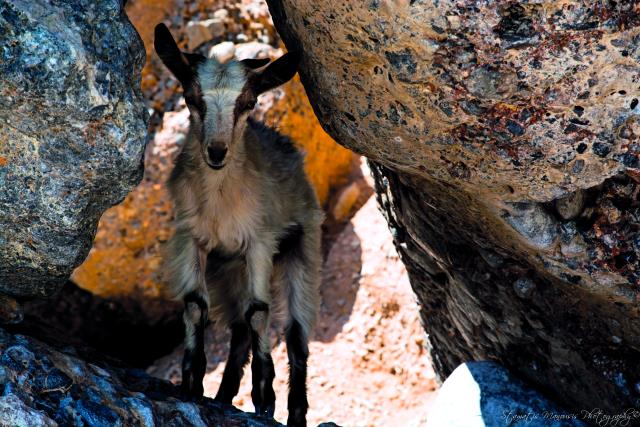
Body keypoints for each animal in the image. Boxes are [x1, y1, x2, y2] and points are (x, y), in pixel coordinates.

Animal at [154, 24, 322, 427]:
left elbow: (260, 311)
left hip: (303, 248)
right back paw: (224, 395)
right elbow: (195, 305)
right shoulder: (191, 239)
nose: (216, 152)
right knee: (239, 330)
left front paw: (264, 397)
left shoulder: (260, 241)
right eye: (191, 99)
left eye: (249, 103)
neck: (221, 202)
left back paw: (295, 412)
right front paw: (191, 383)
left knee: (296, 335)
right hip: (227, 270)